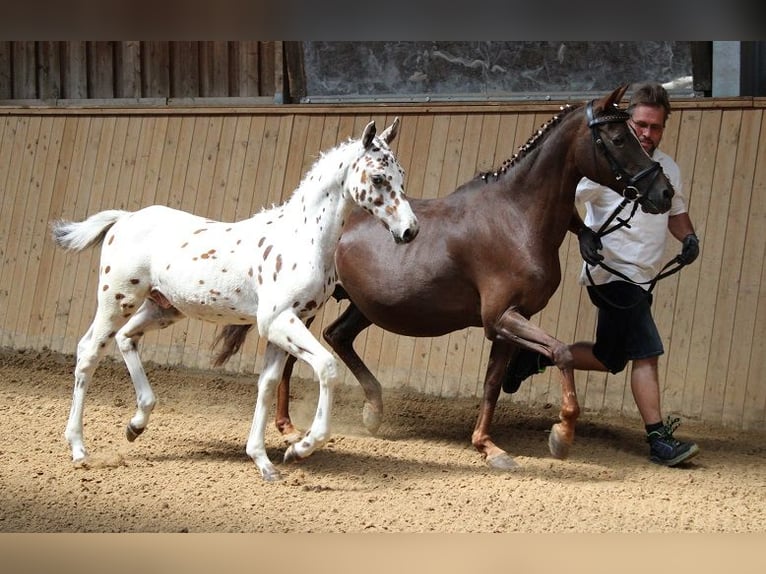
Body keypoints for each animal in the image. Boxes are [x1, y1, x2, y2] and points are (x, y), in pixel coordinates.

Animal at [51, 119, 420, 484]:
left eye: (401, 175)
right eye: (378, 178)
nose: (410, 231)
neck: (302, 239)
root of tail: (124, 218)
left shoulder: (288, 324)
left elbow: (267, 384)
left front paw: (264, 462)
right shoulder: (278, 320)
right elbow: (326, 368)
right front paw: (299, 448)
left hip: (164, 308)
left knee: (127, 338)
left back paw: (136, 424)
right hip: (118, 300)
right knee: (89, 352)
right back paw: (79, 449)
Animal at [272, 86, 680, 472]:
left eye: (638, 132)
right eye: (619, 138)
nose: (664, 192)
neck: (516, 218)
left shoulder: (511, 321)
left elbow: (493, 383)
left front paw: (488, 447)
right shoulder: (500, 317)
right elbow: (562, 352)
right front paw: (562, 436)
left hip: (364, 306)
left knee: (336, 336)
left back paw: (372, 410)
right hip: (309, 305)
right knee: (291, 354)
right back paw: (288, 428)